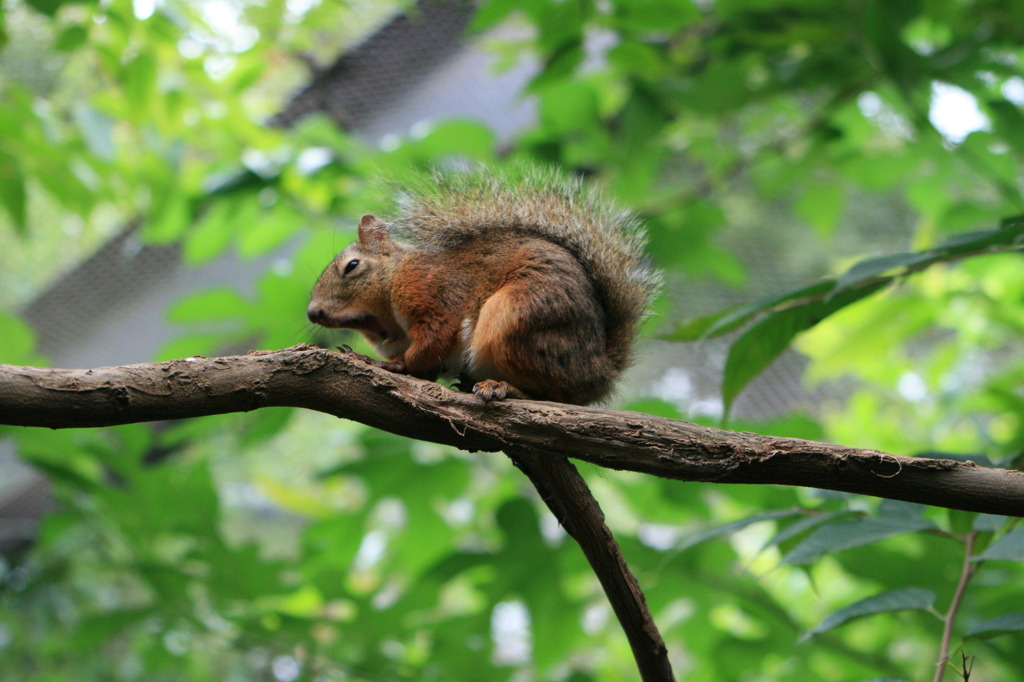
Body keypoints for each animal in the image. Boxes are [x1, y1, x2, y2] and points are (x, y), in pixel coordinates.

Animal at [305, 165, 655, 403]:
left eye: (352, 266)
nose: (312, 313)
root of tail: (599, 372)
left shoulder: (433, 290)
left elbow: (434, 338)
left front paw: (389, 364)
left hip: (516, 318)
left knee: (554, 395)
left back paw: (504, 387)